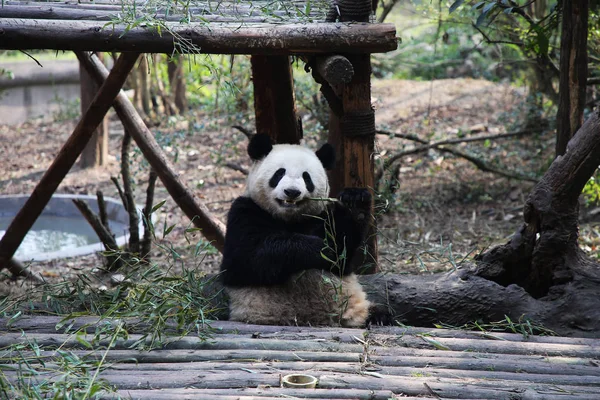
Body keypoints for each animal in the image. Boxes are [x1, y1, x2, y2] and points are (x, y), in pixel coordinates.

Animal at [220, 134, 370, 328]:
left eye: (307, 177)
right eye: (279, 173)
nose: (291, 191)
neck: (289, 219)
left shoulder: (321, 217)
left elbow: (343, 255)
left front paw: (355, 202)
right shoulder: (244, 212)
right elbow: (246, 258)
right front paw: (319, 248)